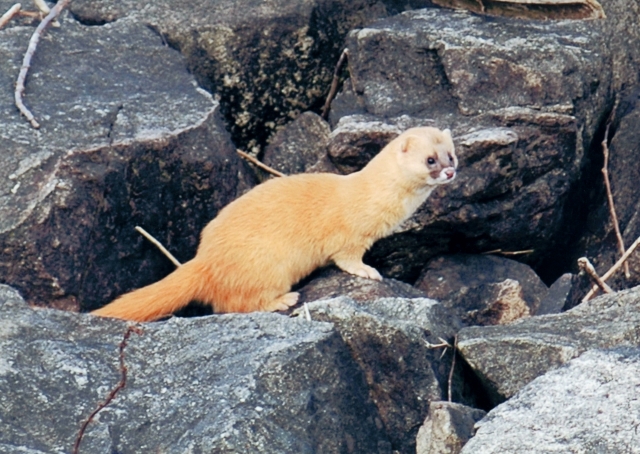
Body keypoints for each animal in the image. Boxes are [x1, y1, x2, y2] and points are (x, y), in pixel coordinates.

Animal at [92, 126, 458, 320]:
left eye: (452, 155)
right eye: (430, 160)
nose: (451, 172)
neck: (374, 195)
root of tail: (205, 259)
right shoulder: (350, 236)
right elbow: (347, 258)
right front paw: (369, 271)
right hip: (267, 264)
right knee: (233, 304)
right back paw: (284, 300)